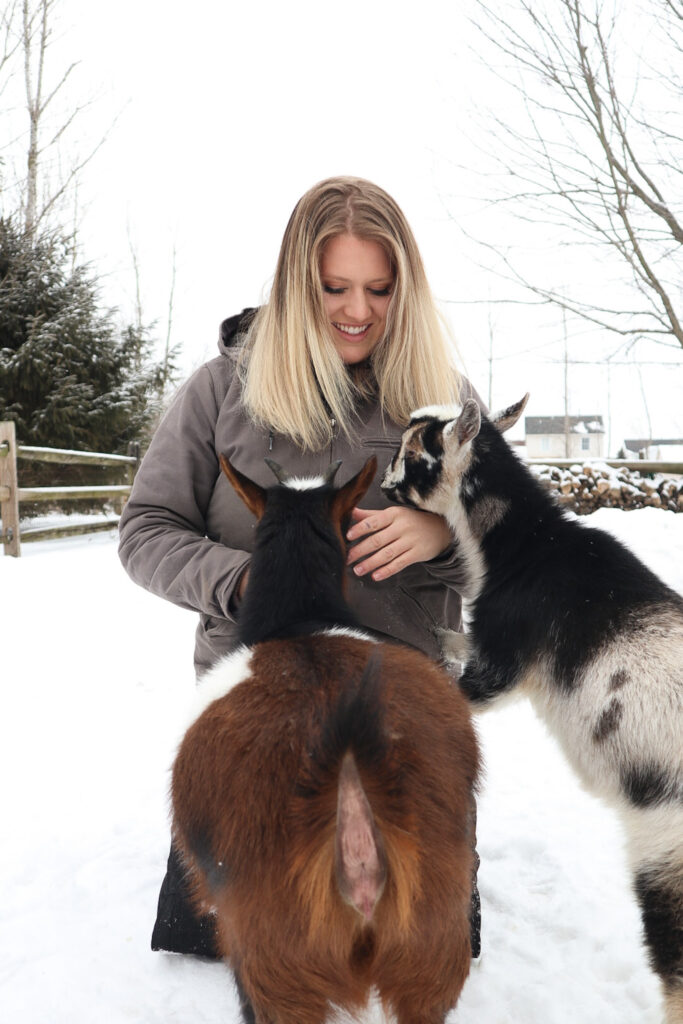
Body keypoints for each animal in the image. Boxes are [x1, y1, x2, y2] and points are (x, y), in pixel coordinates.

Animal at [382, 393, 683, 1024]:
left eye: (414, 453)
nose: (383, 481)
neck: (527, 548)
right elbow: (455, 642)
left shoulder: (504, 655)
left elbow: (467, 684)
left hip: (666, 851)